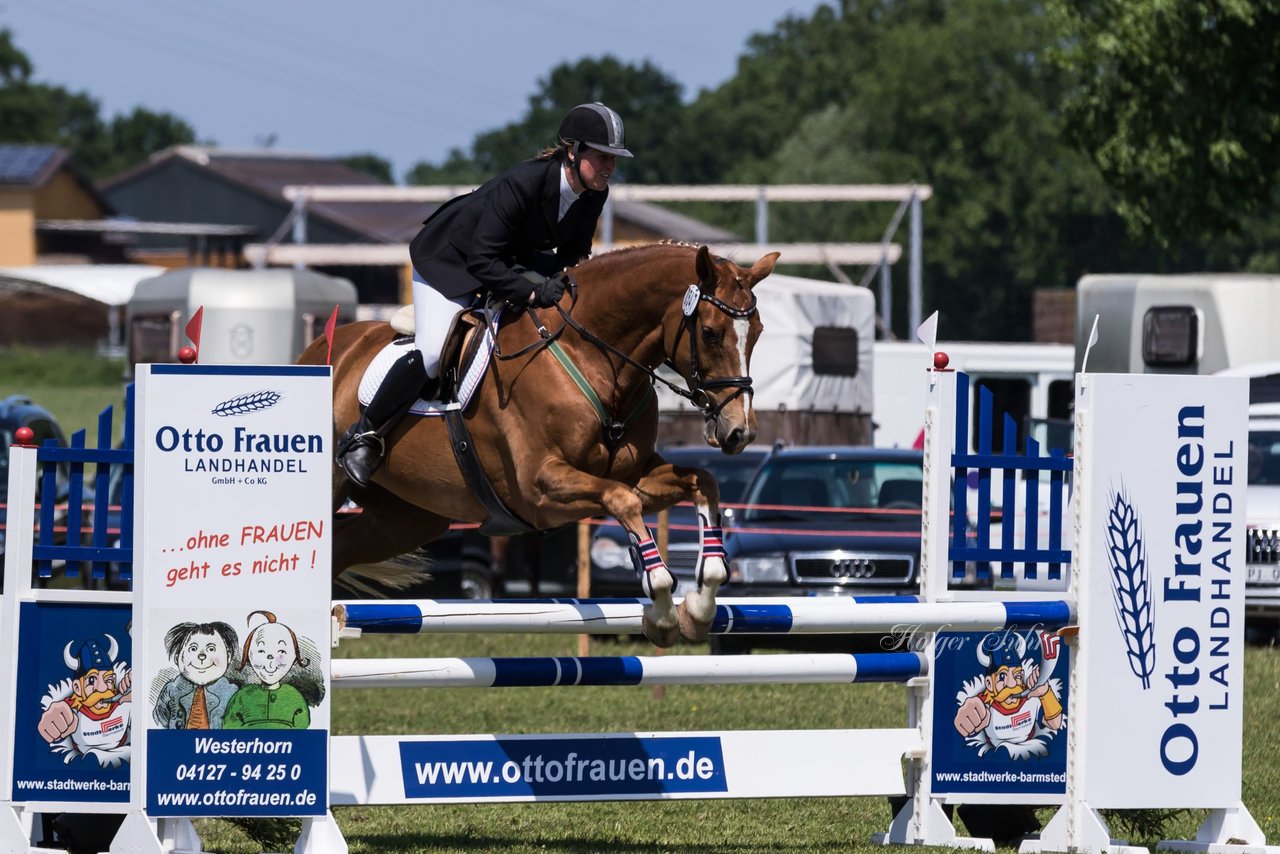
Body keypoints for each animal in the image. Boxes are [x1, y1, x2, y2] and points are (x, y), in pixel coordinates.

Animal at [300, 241, 778, 647]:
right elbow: (623, 502)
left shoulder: (634, 473)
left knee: (341, 549)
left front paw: (698, 608)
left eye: (757, 332)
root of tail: (321, 348)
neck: (594, 356)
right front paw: (661, 614)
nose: (740, 431)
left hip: (407, 518)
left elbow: (703, 481)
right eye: (711, 333)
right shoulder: (540, 488)